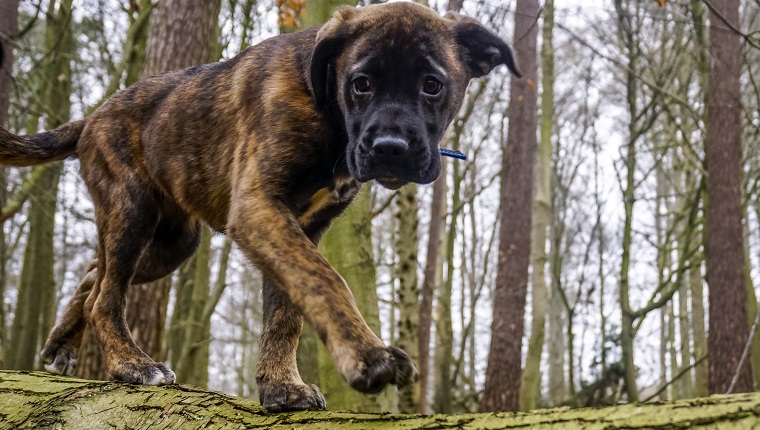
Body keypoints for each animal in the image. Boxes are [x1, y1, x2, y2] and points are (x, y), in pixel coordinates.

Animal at [0, 2, 520, 414]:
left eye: (433, 85)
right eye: (361, 83)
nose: (390, 149)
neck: (326, 106)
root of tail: (92, 116)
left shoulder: (301, 226)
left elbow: (286, 311)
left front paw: (280, 387)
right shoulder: (260, 210)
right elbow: (325, 280)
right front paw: (367, 356)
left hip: (171, 243)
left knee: (95, 274)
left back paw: (61, 345)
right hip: (131, 212)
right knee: (107, 294)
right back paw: (131, 365)